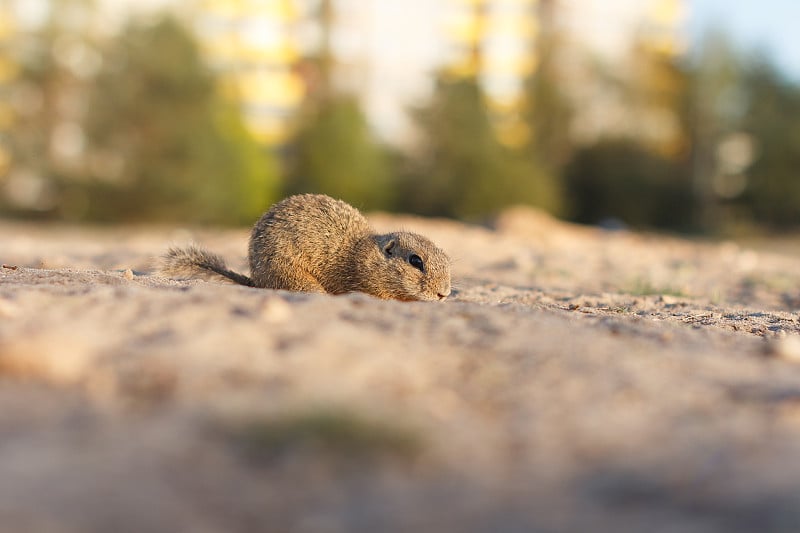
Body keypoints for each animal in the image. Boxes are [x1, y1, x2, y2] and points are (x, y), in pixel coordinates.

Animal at [159, 193, 454, 302]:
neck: (367, 254)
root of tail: (256, 279)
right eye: (416, 261)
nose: (444, 294)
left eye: (447, 259)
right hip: (294, 277)